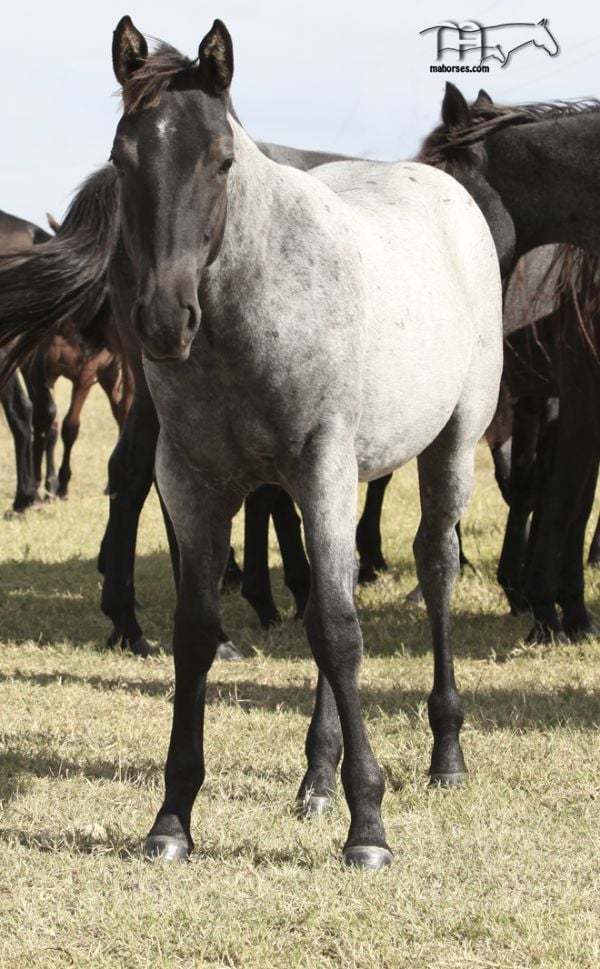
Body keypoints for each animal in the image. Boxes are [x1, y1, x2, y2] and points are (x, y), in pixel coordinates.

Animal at [0, 15, 504, 864]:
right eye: (121, 158)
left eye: (222, 159)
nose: (164, 320)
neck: (250, 312)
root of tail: (449, 195)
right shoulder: (195, 482)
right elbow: (202, 631)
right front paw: (172, 818)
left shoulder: (322, 466)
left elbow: (339, 630)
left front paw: (369, 828)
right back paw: (316, 778)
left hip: (451, 445)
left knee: (436, 566)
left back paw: (446, 754)